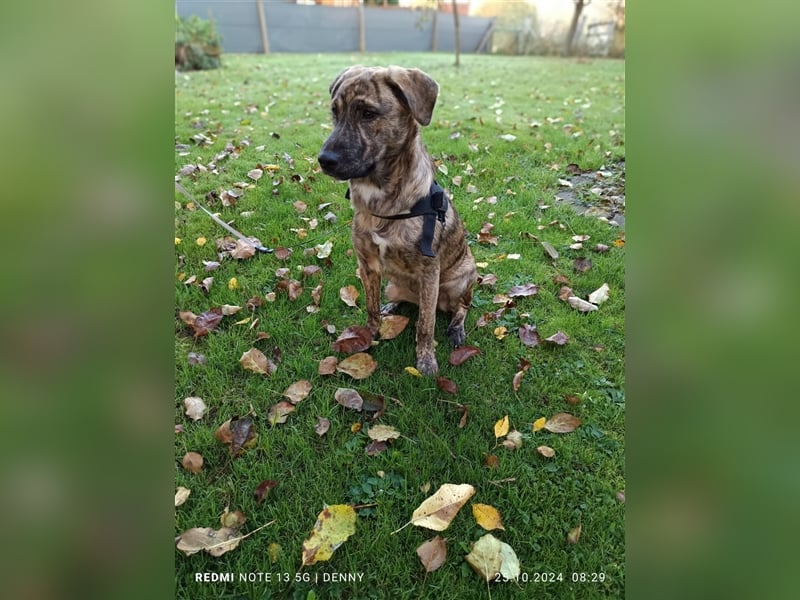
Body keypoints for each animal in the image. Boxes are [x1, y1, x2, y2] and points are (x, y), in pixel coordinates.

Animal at [318, 67, 476, 376]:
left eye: (368, 113)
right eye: (335, 112)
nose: (324, 160)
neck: (383, 201)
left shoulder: (429, 272)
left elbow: (425, 325)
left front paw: (425, 361)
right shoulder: (367, 264)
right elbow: (370, 306)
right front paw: (368, 334)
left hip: (461, 279)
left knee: (460, 308)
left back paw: (456, 328)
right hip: (394, 284)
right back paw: (392, 306)